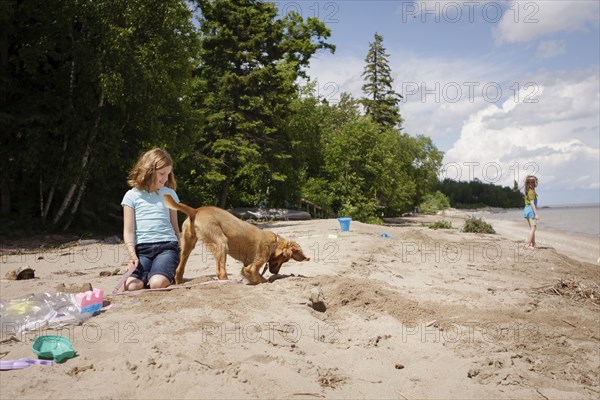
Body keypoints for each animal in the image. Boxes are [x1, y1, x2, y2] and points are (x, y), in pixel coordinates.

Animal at [163, 195, 310, 284]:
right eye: (284, 260)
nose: (275, 273)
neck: (274, 242)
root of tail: (195, 210)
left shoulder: (247, 265)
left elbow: (260, 277)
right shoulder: (251, 267)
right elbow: (258, 278)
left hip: (188, 245)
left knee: (179, 270)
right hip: (221, 242)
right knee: (220, 272)